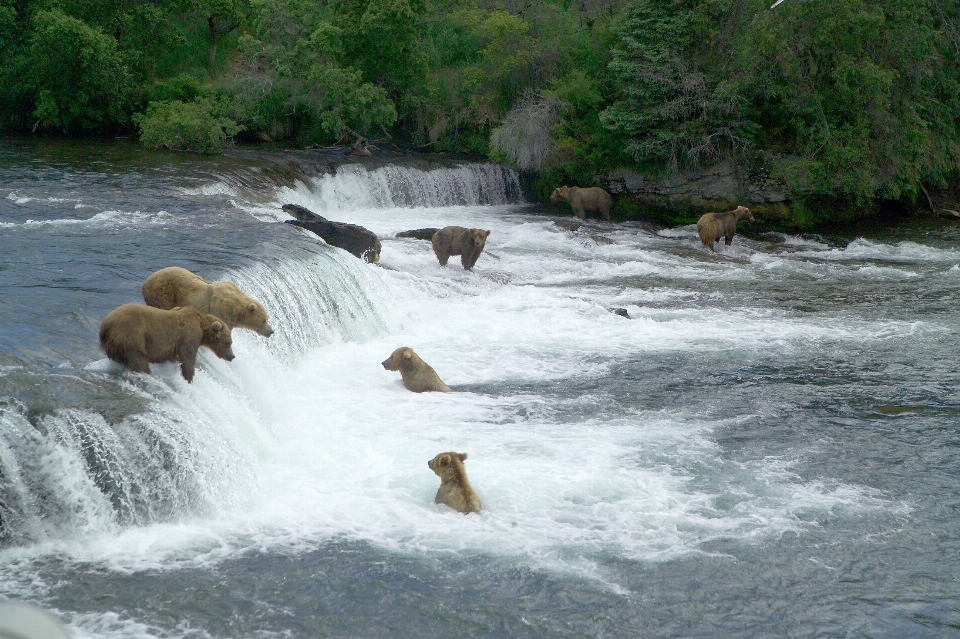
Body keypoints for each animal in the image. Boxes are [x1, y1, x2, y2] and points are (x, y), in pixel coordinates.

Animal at [97, 304, 234, 382]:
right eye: (229, 342)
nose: (232, 356)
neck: (201, 326)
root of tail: (105, 324)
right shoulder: (189, 336)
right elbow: (188, 357)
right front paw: (189, 376)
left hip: (113, 345)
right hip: (132, 334)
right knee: (138, 359)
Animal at [141, 266, 274, 338]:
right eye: (264, 320)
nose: (271, 331)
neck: (236, 312)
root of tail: (146, 281)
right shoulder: (222, 311)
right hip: (163, 293)